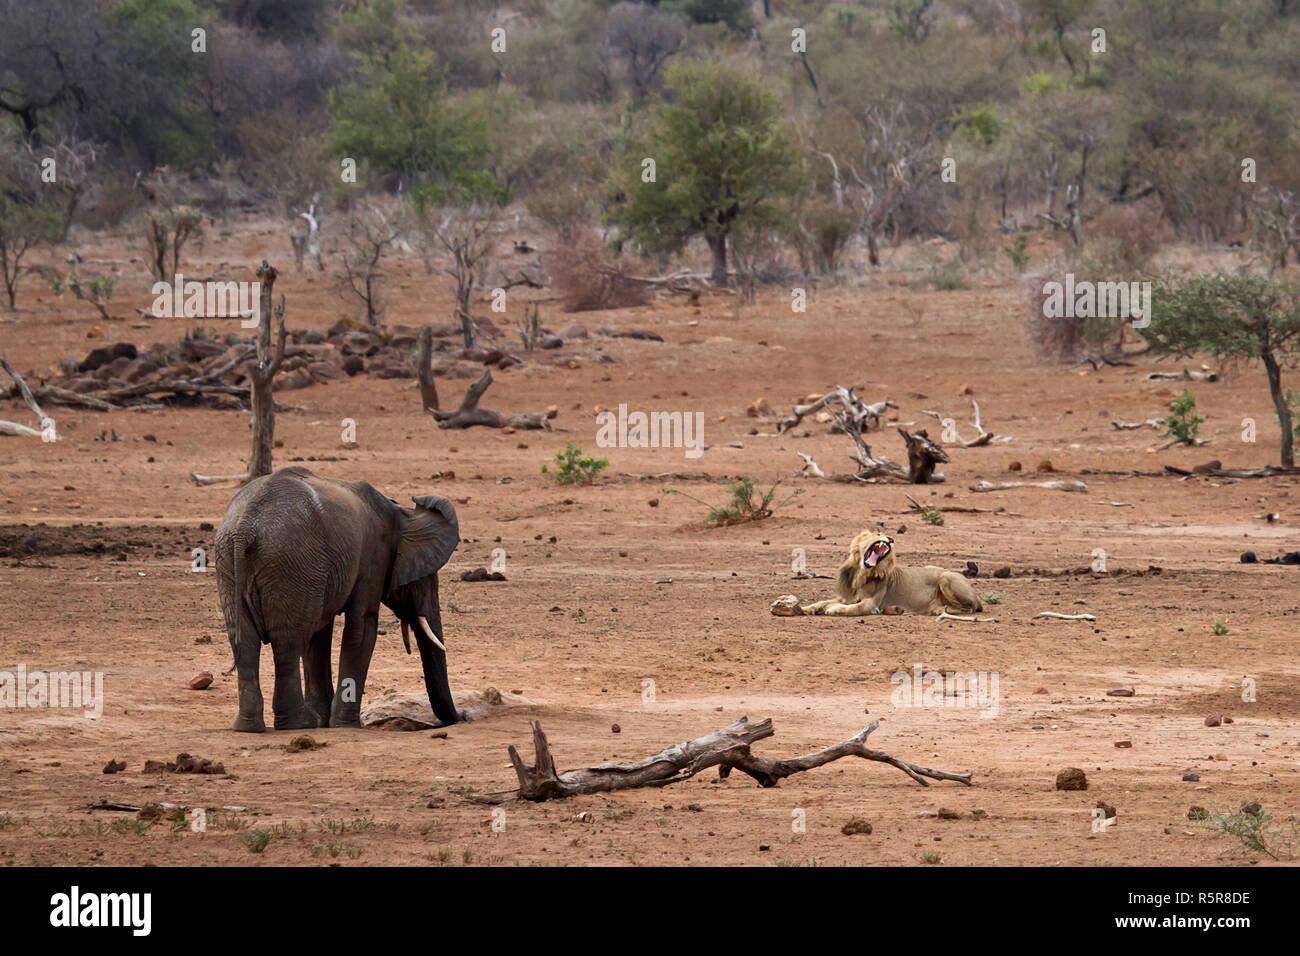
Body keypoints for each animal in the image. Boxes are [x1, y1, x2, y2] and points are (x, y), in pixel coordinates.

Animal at [211, 465, 457, 733]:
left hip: (233, 562)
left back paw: (249, 727)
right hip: (291, 563)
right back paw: (299, 724)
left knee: (246, 641)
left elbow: (319, 638)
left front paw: (325, 721)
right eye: (425, 577)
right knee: (288, 642)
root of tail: (246, 527)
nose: (455, 721)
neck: (401, 514)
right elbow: (362, 628)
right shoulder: (372, 558)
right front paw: (345, 725)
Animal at [769, 528, 977, 616]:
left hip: (946, 577)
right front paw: (804, 609)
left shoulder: (871, 604)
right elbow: (820, 602)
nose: (891, 539)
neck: (860, 575)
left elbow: (852, 608)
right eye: (878, 534)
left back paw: (937, 610)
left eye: (889, 538)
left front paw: (833, 609)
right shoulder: (846, 596)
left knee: (969, 608)